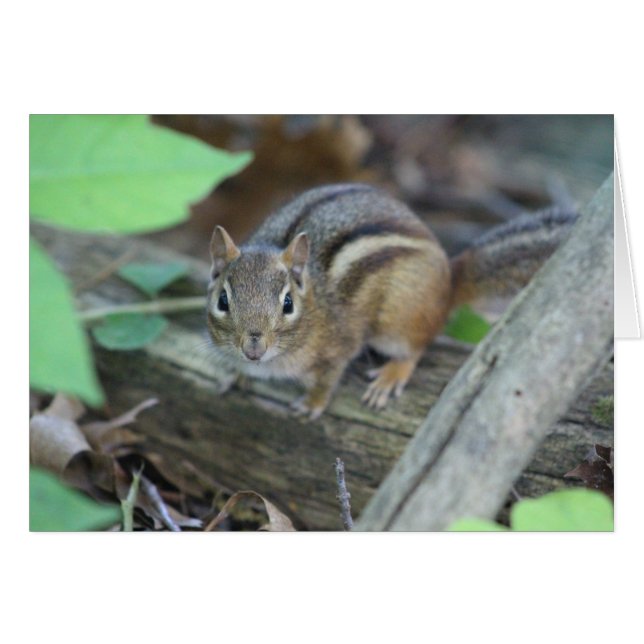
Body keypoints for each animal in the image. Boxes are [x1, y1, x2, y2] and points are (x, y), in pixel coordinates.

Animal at [206, 183, 577, 419]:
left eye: (287, 305)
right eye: (223, 300)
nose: (253, 348)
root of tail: (448, 278)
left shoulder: (339, 346)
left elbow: (329, 378)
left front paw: (313, 403)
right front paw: (234, 376)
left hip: (397, 321)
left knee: (415, 348)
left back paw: (391, 375)